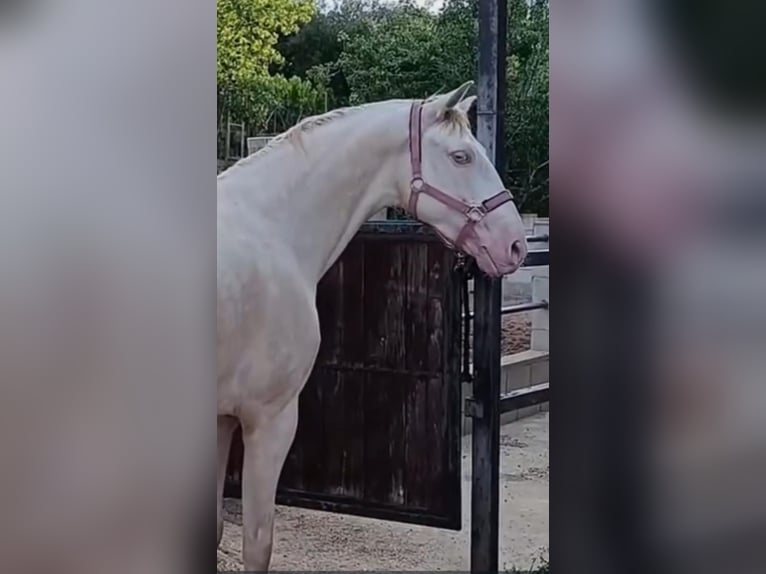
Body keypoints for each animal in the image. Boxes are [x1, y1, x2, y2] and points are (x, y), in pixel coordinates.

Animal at [216, 81, 528, 572]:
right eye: (461, 156)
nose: (515, 244)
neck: (271, 230)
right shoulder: (270, 420)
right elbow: (258, 543)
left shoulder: (220, 422)